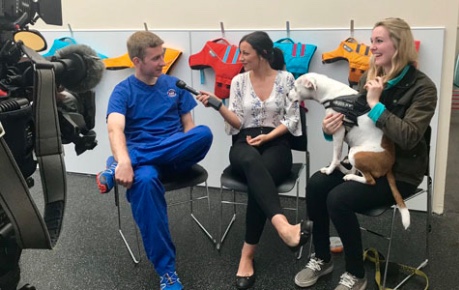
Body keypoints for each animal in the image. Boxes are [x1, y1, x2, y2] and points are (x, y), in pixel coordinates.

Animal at [290, 72, 412, 229]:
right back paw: (344, 170)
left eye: (295, 87)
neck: (332, 93)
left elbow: (336, 155)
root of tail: (390, 164)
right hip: (353, 149)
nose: (286, 94)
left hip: (355, 152)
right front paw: (335, 167)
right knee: (353, 170)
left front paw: (330, 170)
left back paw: (348, 176)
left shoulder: (338, 131)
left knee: (369, 180)